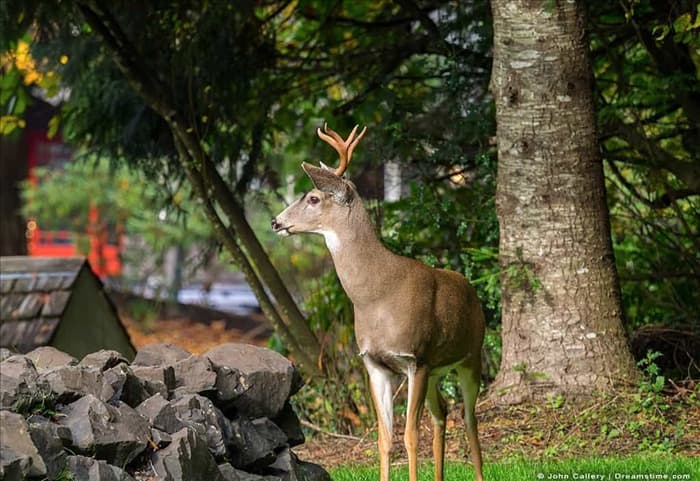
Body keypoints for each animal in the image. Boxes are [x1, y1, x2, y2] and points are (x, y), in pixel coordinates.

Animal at [270, 123, 484, 480]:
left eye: (313, 197)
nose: (275, 221)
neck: (377, 294)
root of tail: (472, 289)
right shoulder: (374, 362)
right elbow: (385, 438)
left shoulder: (414, 357)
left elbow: (410, 435)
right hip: (437, 368)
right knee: (442, 412)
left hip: (470, 357)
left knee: (470, 418)